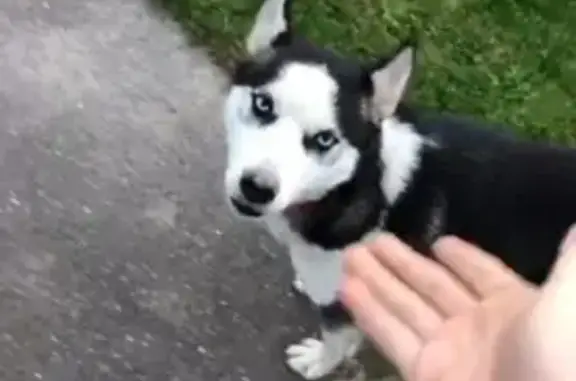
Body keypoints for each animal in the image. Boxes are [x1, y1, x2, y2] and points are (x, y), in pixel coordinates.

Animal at [223, 0, 576, 378]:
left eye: (325, 139)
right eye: (263, 104)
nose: (258, 187)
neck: (364, 184)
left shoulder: (346, 306)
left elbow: (336, 339)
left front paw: (318, 362)